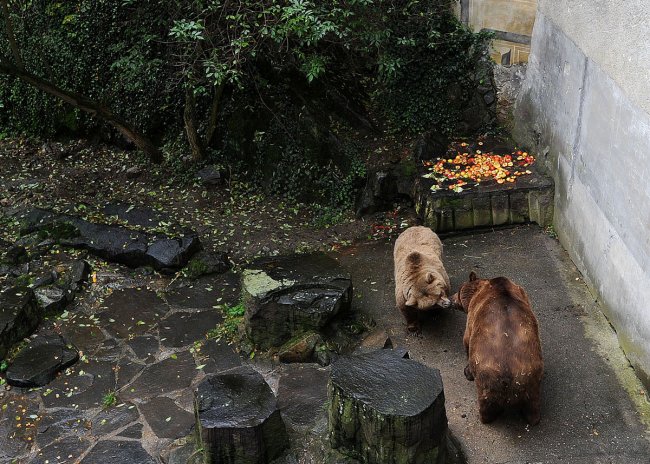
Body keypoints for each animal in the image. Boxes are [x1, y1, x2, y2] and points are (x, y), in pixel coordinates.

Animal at [454, 270, 544, 426]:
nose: (451, 298)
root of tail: (510, 377)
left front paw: (467, 371)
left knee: (485, 401)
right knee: (533, 404)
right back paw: (533, 418)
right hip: (532, 377)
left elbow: (466, 340)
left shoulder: (473, 317)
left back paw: (484, 417)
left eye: (458, 291)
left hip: (486, 377)